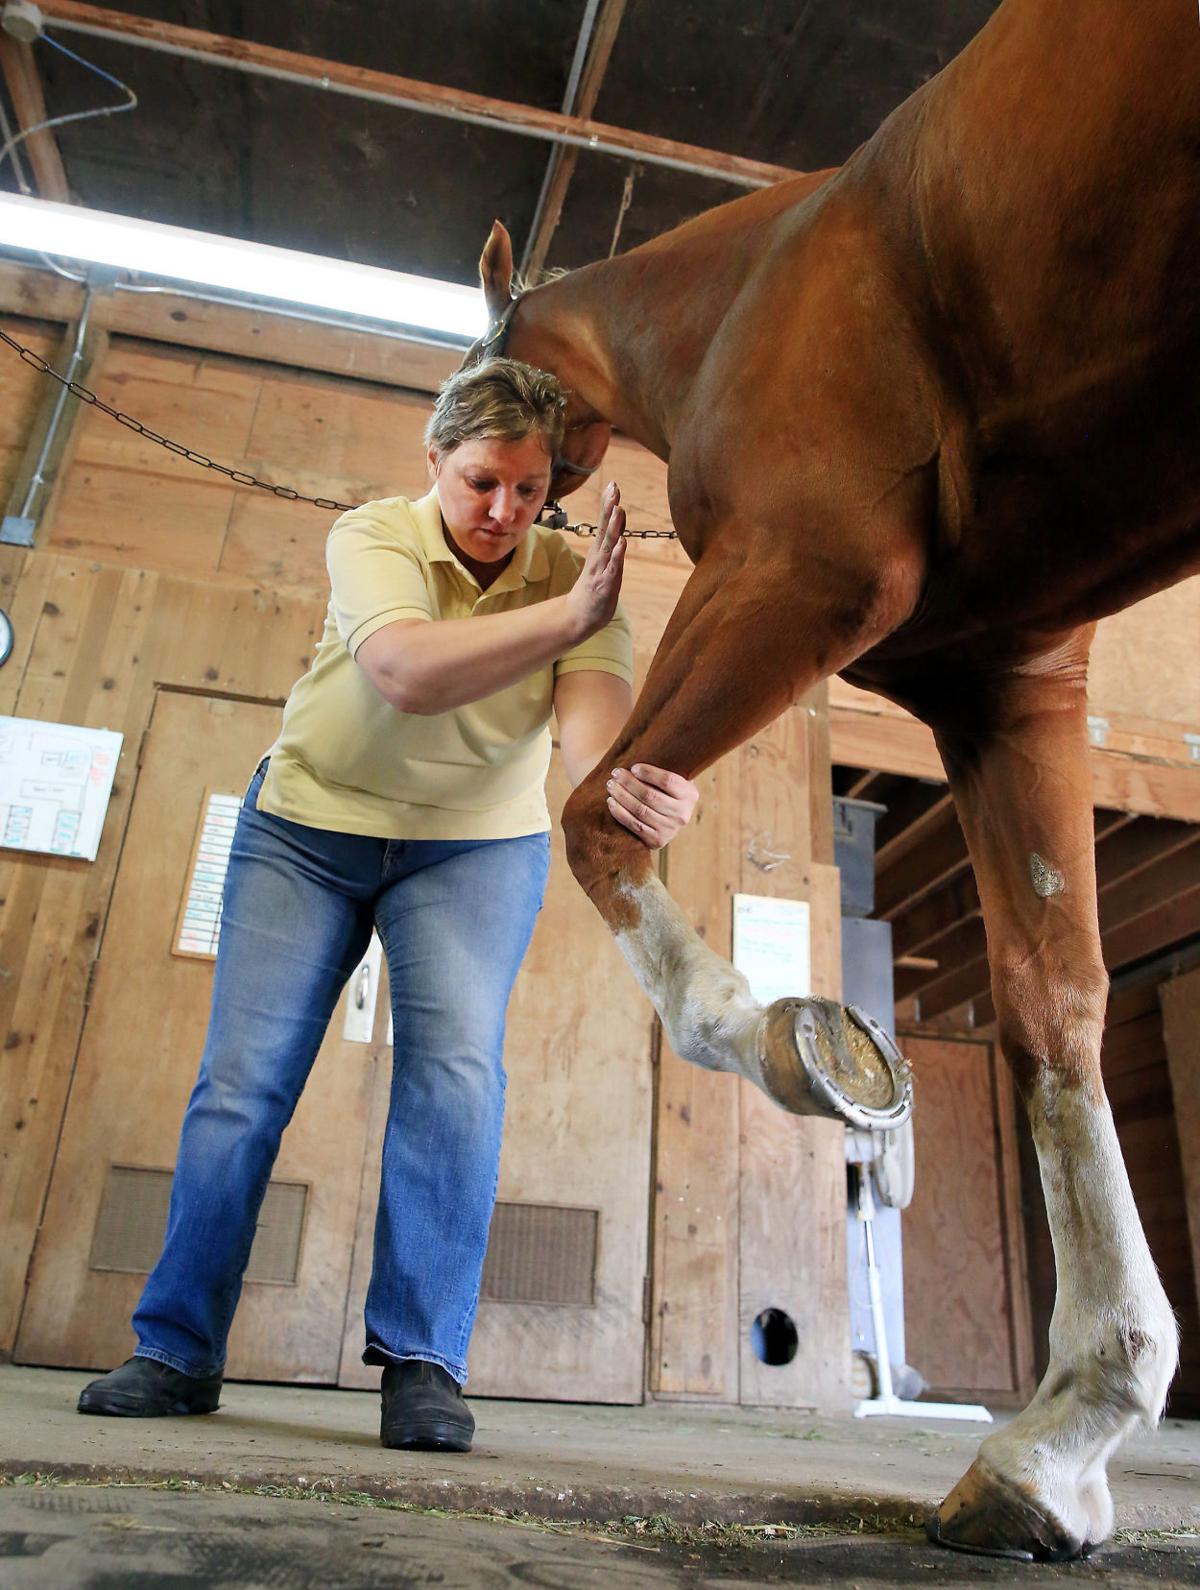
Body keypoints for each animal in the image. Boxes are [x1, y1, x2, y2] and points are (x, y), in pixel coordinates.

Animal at [462, 0, 1199, 1561]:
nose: (493, 497)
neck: (756, 284)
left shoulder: (806, 571)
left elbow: (594, 822)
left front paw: (796, 1044)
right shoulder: (1010, 685)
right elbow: (1056, 1012)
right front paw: (1068, 1429)